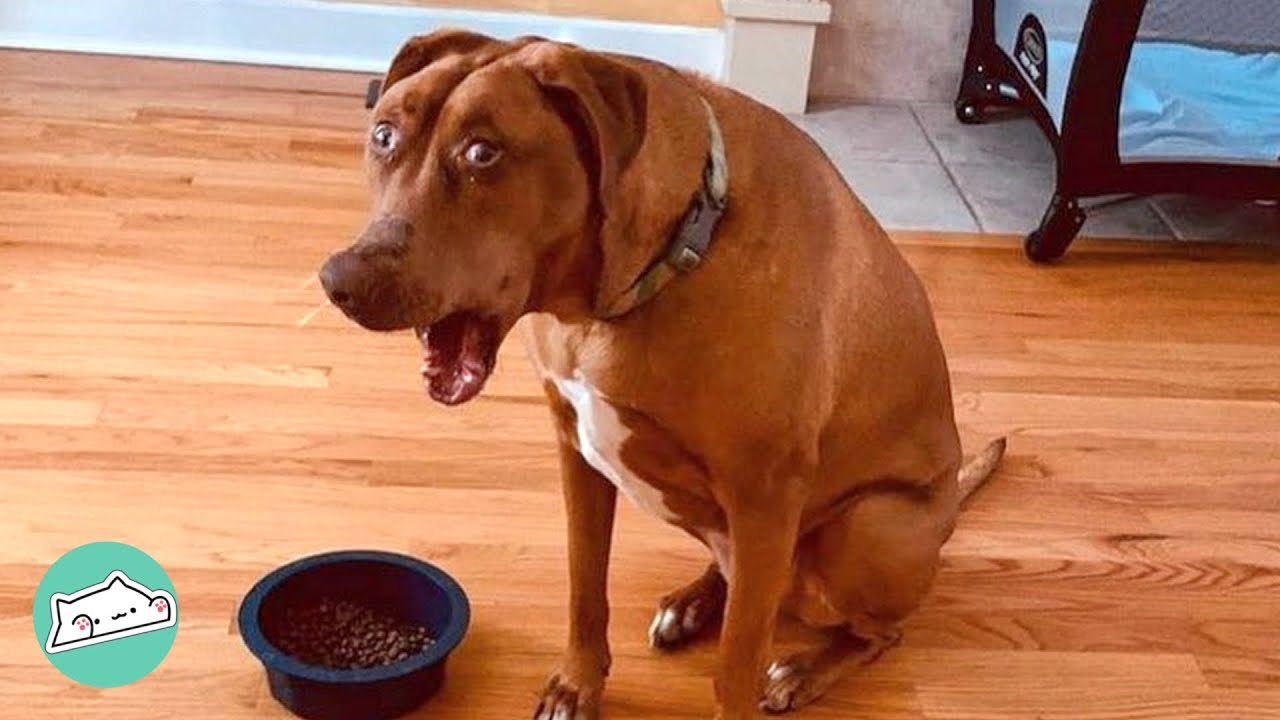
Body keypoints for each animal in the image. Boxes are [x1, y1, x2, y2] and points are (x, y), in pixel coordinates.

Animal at [317, 29, 998, 717]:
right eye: (383, 136)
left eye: (482, 152)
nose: (338, 280)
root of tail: (950, 508)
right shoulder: (576, 450)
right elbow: (584, 585)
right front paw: (577, 684)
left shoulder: (765, 495)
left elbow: (736, 665)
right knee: (743, 575)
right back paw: (695, 602)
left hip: (861, 532)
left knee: (876, 631)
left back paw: (804, 668)